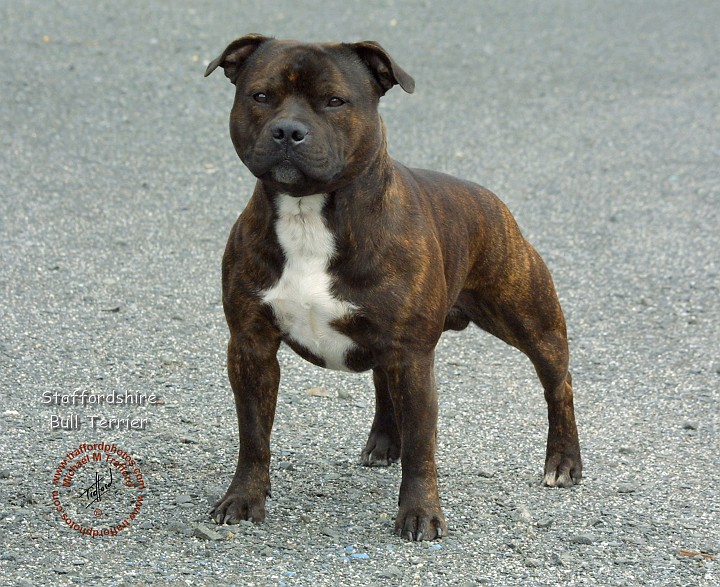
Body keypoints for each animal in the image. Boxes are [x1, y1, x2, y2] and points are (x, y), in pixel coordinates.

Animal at [204, 35, 584, 544]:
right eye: (261, 96)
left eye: (335, 101)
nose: (287, 131)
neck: (309, 214)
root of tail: (490, 199)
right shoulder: (250, 345)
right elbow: (253, 434)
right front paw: (243, 498)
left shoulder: (413, 355)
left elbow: (423, 446)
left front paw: (420, 514)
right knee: (383, 381)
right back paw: (384, 442)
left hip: (532, 321)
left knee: (558, 384)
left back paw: (563, 462)